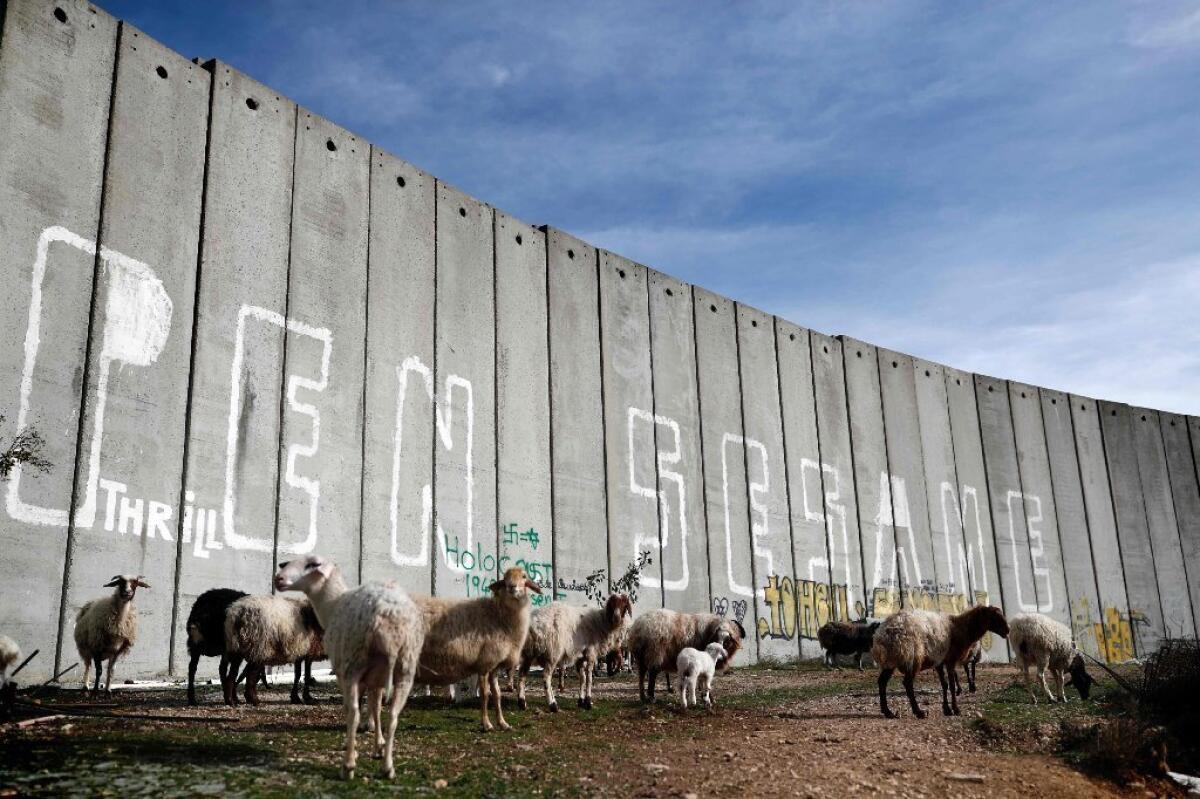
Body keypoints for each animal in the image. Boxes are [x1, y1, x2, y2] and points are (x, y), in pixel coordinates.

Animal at [274, 554, 424, 777]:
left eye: (312, 564)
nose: (279, 579)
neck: (332, 604)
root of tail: (387, 619)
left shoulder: (342, 673)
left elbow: (356, 709)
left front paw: (355, 746)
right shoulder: (376, 680)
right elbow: (375, 708)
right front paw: (378, 746)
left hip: (353, 665)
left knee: (353, 712)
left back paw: (348, 765)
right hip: (405, 670)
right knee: (393, 716)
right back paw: (388, 767)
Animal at [412, 559, 544, 729]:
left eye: (524, 576)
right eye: (505, 578)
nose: (511, 587)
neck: (499, 616)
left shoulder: (494, 666)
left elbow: (497, 695)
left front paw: (503, 723)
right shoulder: (484, 664)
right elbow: (485, 695)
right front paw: (487, 724)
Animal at [868, 604, 1008, 715]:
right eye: (994, 617)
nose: (1008, 630)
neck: (960, 628)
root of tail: (883, 634)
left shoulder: (939, 661)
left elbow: (944, 685)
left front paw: (947, 709)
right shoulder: (950, 660)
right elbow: (952, 685)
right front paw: (956, 709)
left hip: (891, 660)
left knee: (882, 682)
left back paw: (888, 712)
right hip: (913, 657)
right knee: (907, 683)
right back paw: (919, 712)